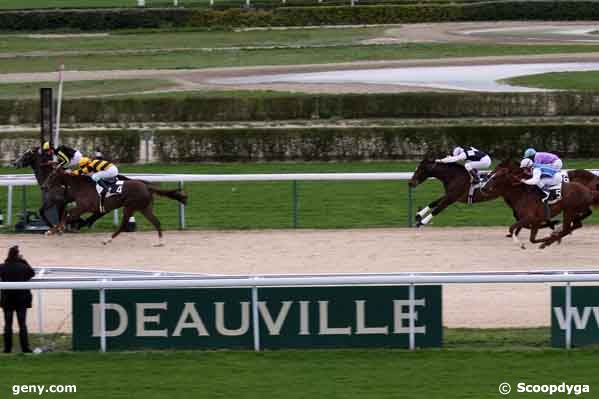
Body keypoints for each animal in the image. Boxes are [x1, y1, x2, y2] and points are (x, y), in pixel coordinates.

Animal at [44, 170, 188, 247]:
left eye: (51, 175)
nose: (44, 186)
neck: (81, 187)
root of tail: (146, 186)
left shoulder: (84, 207)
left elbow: (68, 214)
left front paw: (53, 230)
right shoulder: (84, 208)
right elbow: (68, 214)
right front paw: (55, 229)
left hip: (130, 206)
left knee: (123, 225)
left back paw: (107, 239)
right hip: (144, 208)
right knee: (156, 222)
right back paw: (160, 242)